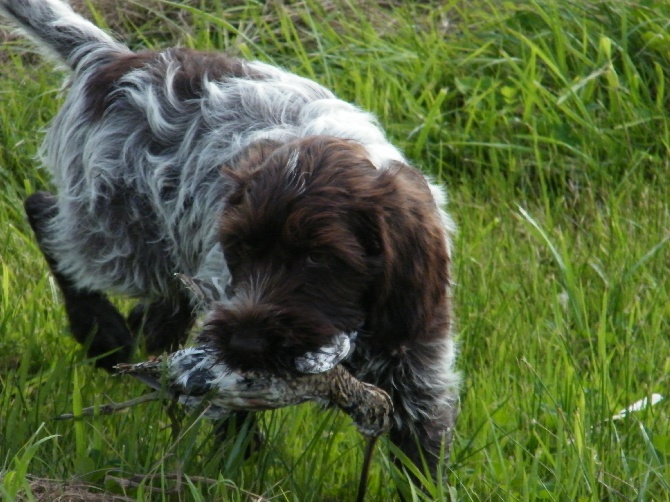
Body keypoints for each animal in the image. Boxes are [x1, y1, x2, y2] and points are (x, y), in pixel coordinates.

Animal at [1, 0, 462, 476]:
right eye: (241, 248)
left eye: (319, 258)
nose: (246, 345)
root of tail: (115, 61)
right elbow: (235, 421)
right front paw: (241, 472)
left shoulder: (417, 361)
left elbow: (424, 452)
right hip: (119, 234)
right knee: (45, 214)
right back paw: (100, 332)